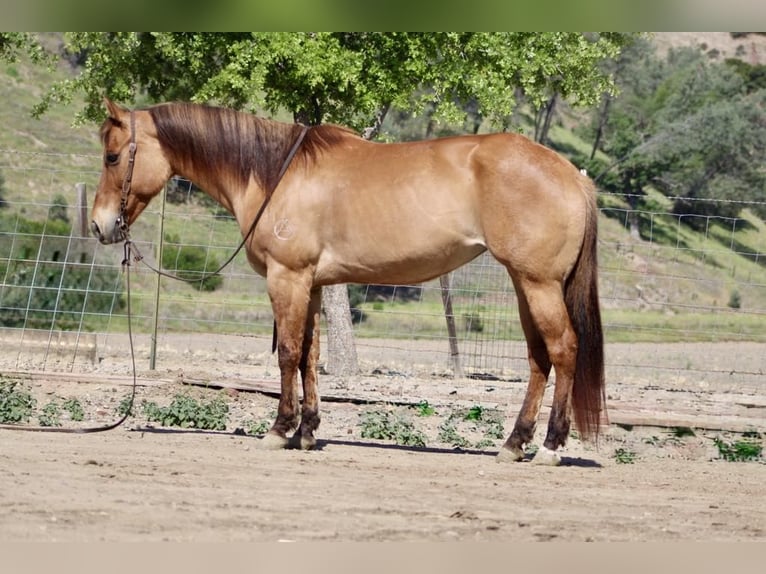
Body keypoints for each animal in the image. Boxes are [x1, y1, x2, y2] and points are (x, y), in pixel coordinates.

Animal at [92, 98, 605, 466]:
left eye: (113, 156)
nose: (100, 226)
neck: (275, 174)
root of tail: (573, 176)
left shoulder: (288, 278)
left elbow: (288, 354)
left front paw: (279, 430)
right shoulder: (313, 284)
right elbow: (309, 356)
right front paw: (307, 432)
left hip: (538, 284)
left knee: (563, 350)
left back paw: (550, 447)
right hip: (524, 285)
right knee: (539, 359)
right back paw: (514, 443)